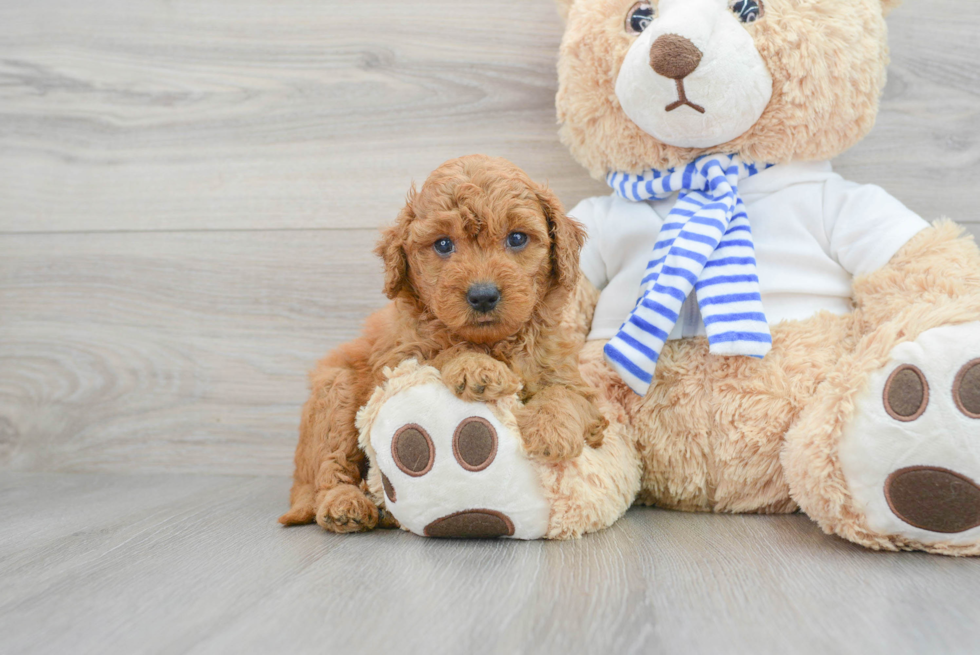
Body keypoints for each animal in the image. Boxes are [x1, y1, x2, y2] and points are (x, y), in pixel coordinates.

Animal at [280, 156, 604, 536]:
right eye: (444, 245)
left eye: (517, 238)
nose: (483, 295)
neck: (494, 343)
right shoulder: (398, 359)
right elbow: (441, 352)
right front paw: (476, 367)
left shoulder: (574, 383)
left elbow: (565, 395)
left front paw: (551, 432)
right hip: (336, 392)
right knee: (329, 468)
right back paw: (344, 504)